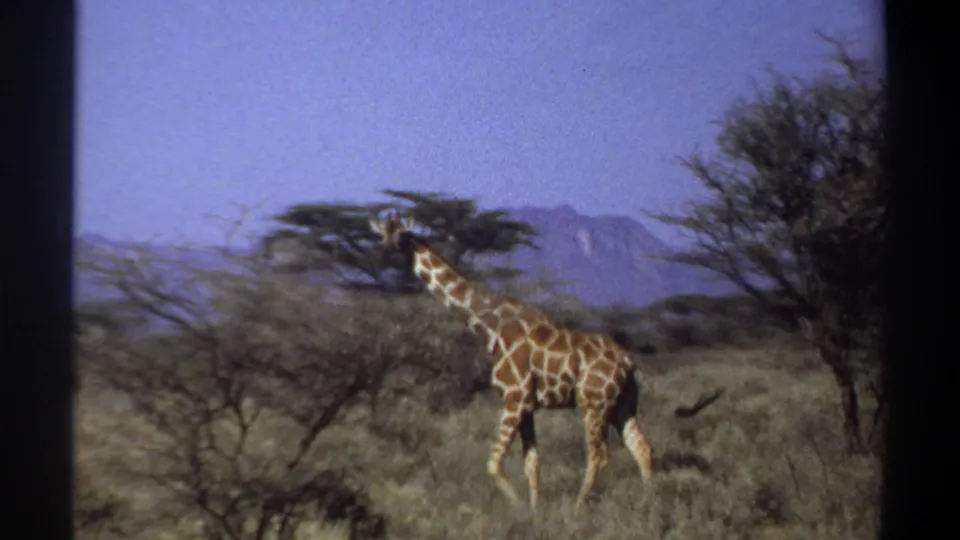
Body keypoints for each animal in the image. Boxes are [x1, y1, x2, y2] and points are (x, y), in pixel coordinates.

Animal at [369, 211, 653, 511]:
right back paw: (650, 501)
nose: (384, 257)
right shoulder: (527, 405)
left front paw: (518, 507)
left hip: (593, 402)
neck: (490, 326)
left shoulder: (514, 397)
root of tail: (628, 361)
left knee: (599, 455)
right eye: (382, 234)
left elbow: (493, 464)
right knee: (641, 447)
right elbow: (532, 464)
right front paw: (535, 510)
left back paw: (578, 507)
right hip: (623, 403)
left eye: (402, 235)